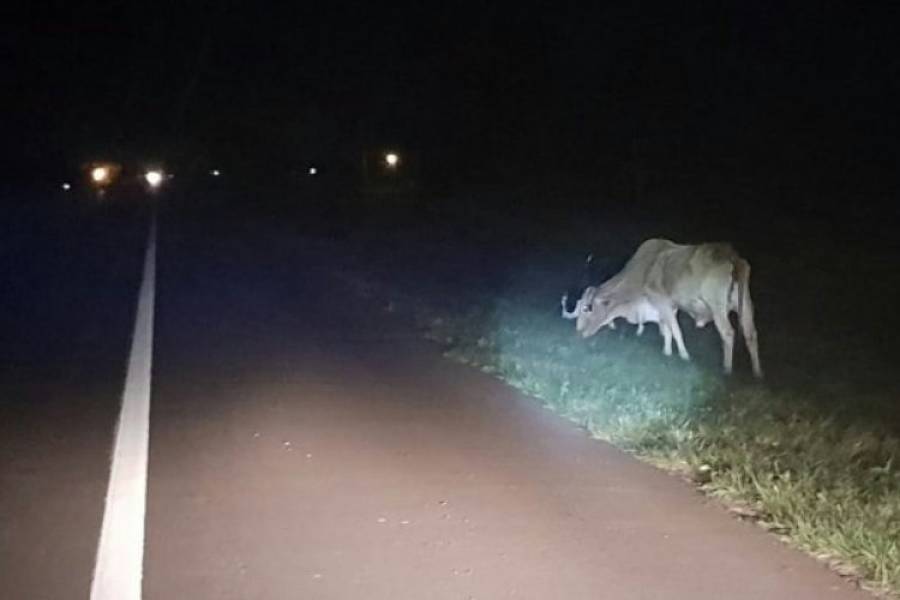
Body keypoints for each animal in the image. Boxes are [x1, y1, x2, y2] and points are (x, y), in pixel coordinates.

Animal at [568, 239, 764, 380]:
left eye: (587, 308)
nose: (578, 332)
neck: (642, 271)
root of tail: (732, 256)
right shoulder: (669, 307)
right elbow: (667, 329)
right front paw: (667, 352)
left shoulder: (663, 303)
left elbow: (675, 330)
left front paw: (683, 355)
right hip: (746, 304)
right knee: (751, 334)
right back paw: (758, 372)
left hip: (718, 307)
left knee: (728, 333)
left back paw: (727, 369)